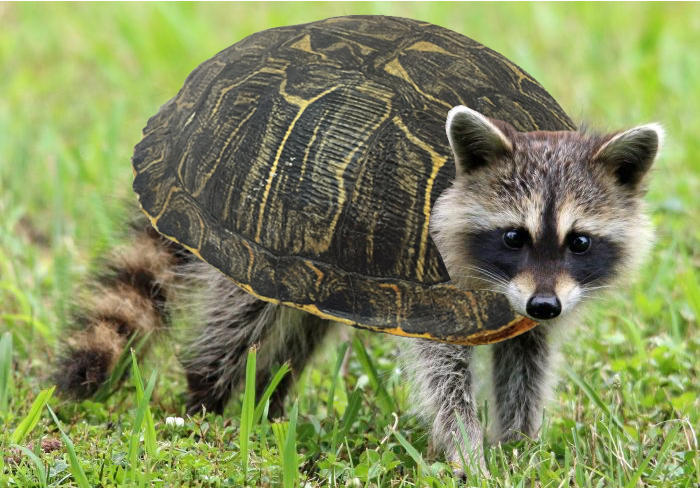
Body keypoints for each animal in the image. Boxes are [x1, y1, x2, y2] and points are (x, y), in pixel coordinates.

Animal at [54, 106, 662, 472]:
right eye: (514, 236)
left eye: (579, 242)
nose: (544, 305)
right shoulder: (435, 287)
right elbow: (443, 371)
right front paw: (467, 451)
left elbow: (526, 359)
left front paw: (519, 445)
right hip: (265, 235)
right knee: (242, 319)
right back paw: (209, 395)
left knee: (303, 324)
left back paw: (270, 397)